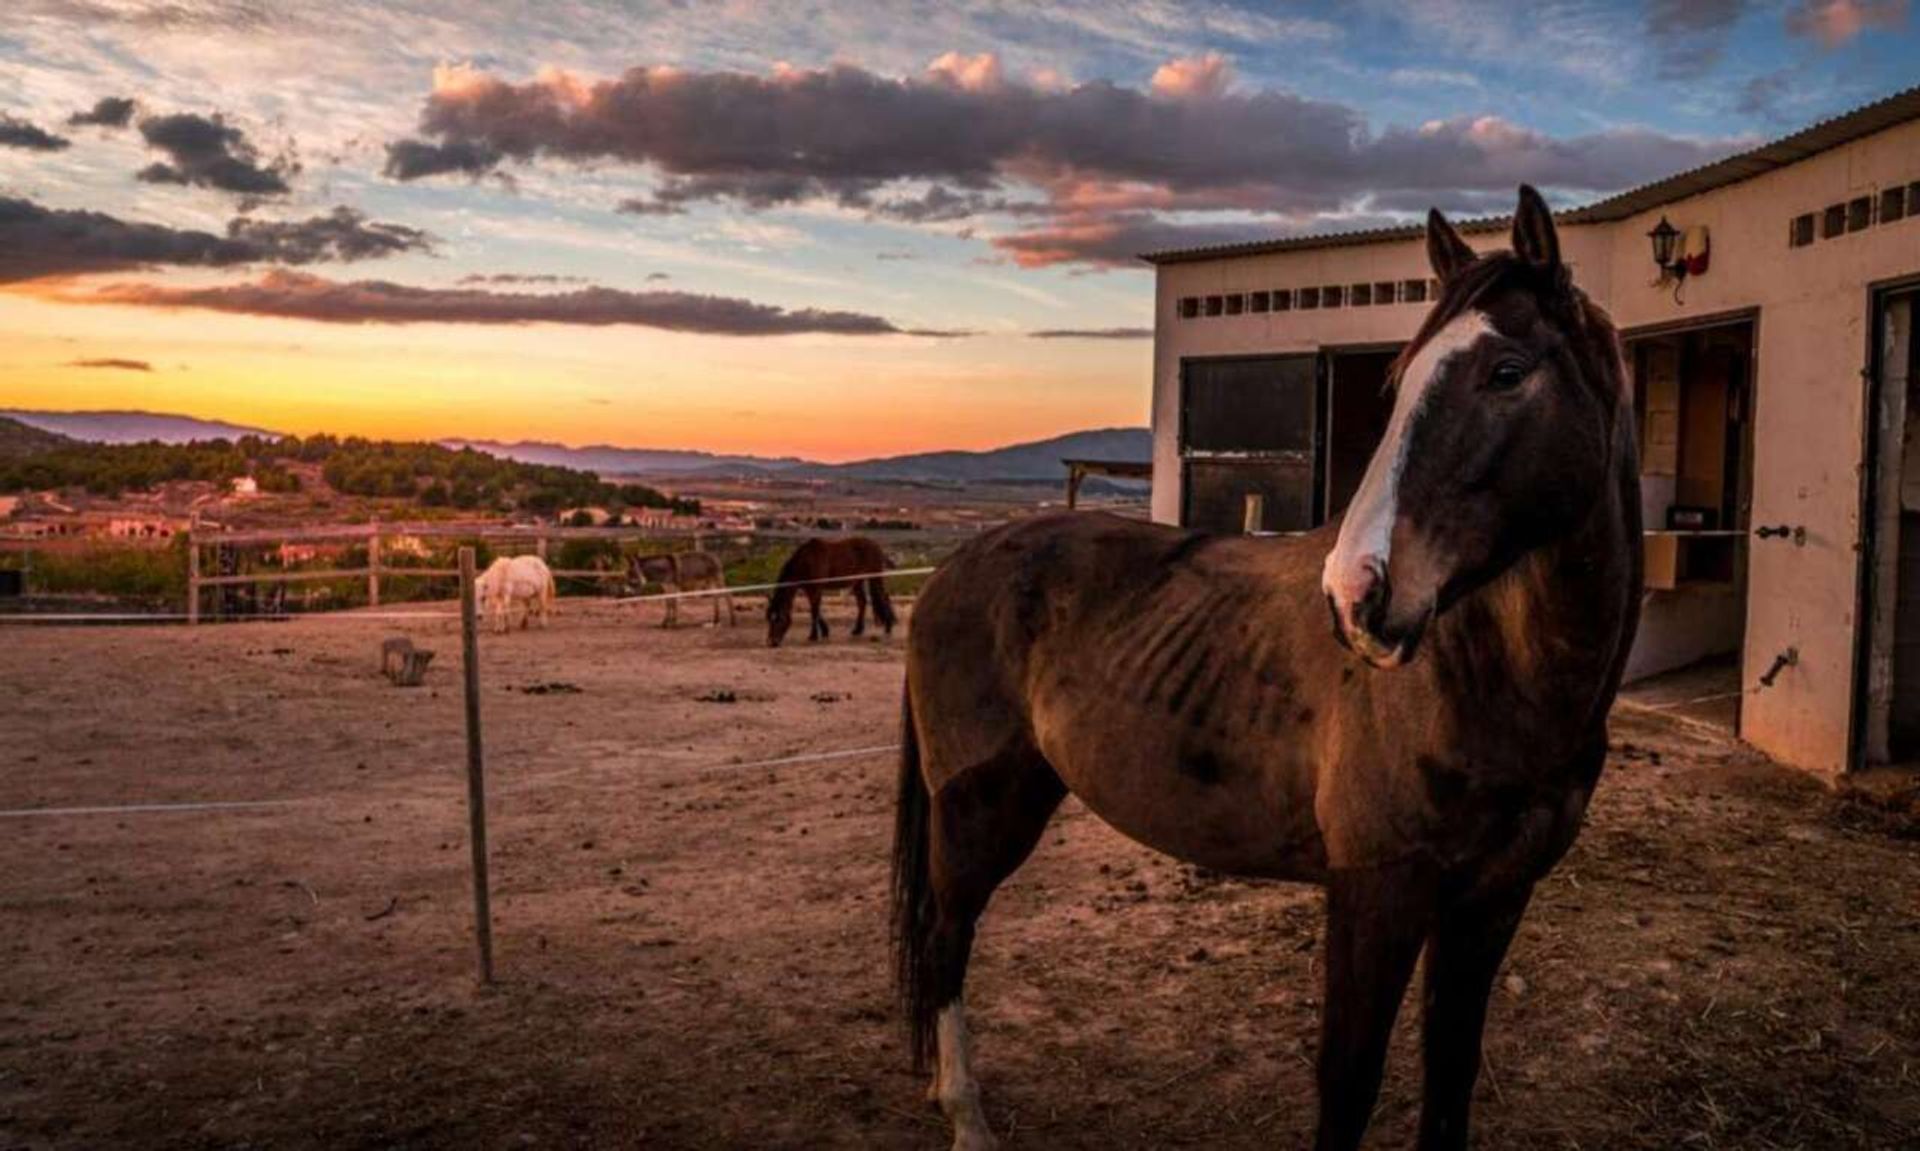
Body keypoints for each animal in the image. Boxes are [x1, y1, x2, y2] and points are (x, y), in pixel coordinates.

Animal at [764, 538, 898, 649]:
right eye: (769, 619)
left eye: (779, 619)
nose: (772, 642)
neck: (807, 560)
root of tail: (877, 546)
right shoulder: (809, 590)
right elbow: (816, 610)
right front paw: (824, 631)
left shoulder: (816, 589)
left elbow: (814, 611)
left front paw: (813, 636)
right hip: (857, 582)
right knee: (862, 602)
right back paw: (857, 630)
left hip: (874, 578)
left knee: (883, 597)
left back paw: (888, 628)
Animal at [890, 189, 1643, 1151]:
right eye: (1397, 384)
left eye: (1507, 372)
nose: (1355, 593)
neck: (1488, 685)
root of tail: (955, 568)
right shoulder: (1377, 892)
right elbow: (1349, 1081)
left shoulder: (1493, 900)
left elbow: (1451, 1073)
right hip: (981, 808)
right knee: (947, 931)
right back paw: (966, 1115)